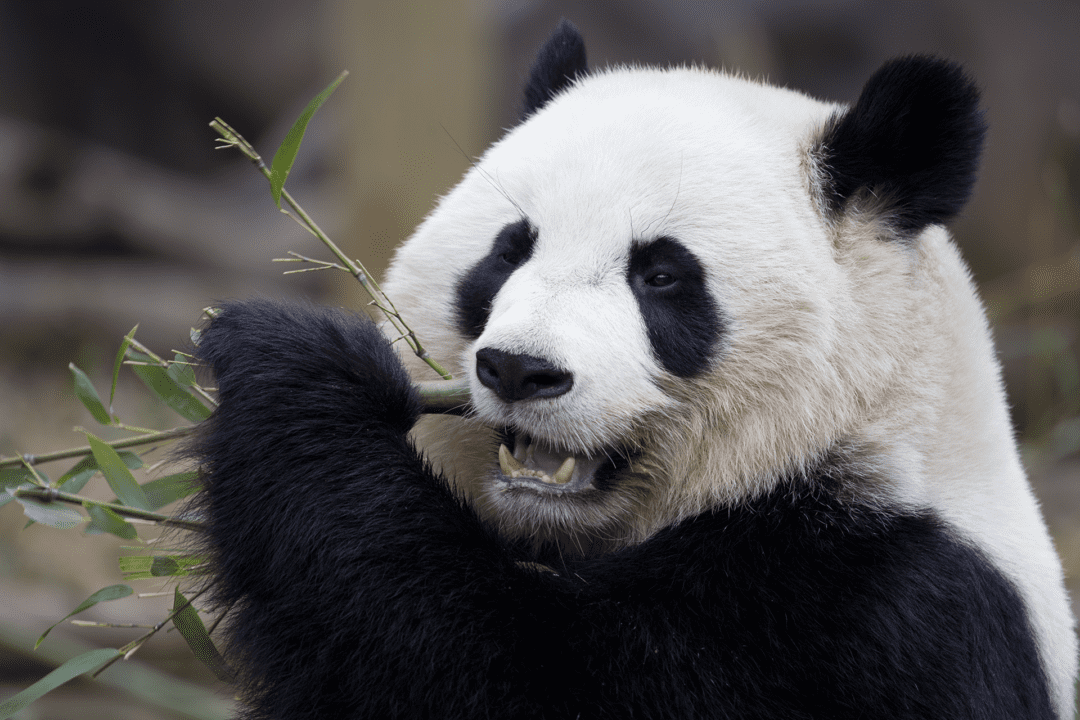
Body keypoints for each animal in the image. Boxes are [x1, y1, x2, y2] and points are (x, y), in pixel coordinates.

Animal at [190, 19, 1075, 716]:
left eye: (661, 275)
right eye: (509, 251)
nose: (520, 370)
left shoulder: (877, 611)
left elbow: (500, 671)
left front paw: (294, 367)